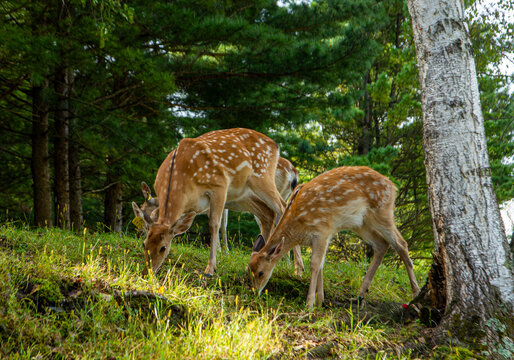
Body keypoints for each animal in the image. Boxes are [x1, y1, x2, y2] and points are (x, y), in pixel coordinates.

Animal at [143, 129, 292, 276]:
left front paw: (210, 268)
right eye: (144, 244)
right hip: (243, 195)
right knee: (268, 213)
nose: (147, 272)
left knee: (283, 208)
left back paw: (292, 268)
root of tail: (275, 145)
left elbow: (214, 224)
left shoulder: (219, 185)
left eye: (163, 247)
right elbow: (156, 213)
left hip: (262, 177)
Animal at [248, 167, 420, 310]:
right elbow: (321, 264)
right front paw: (320, 300)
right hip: (361, 223)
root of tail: (393, 186)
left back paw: (415, 294)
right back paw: (360, 295)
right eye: (249, 270)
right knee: (382, 244)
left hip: (382, 211)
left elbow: (315, 264)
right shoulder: (323, 236)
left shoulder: (322, 230)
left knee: (401, 244)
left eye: (261, 272)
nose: (254, 292)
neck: (297, 228)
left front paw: (309, 304)